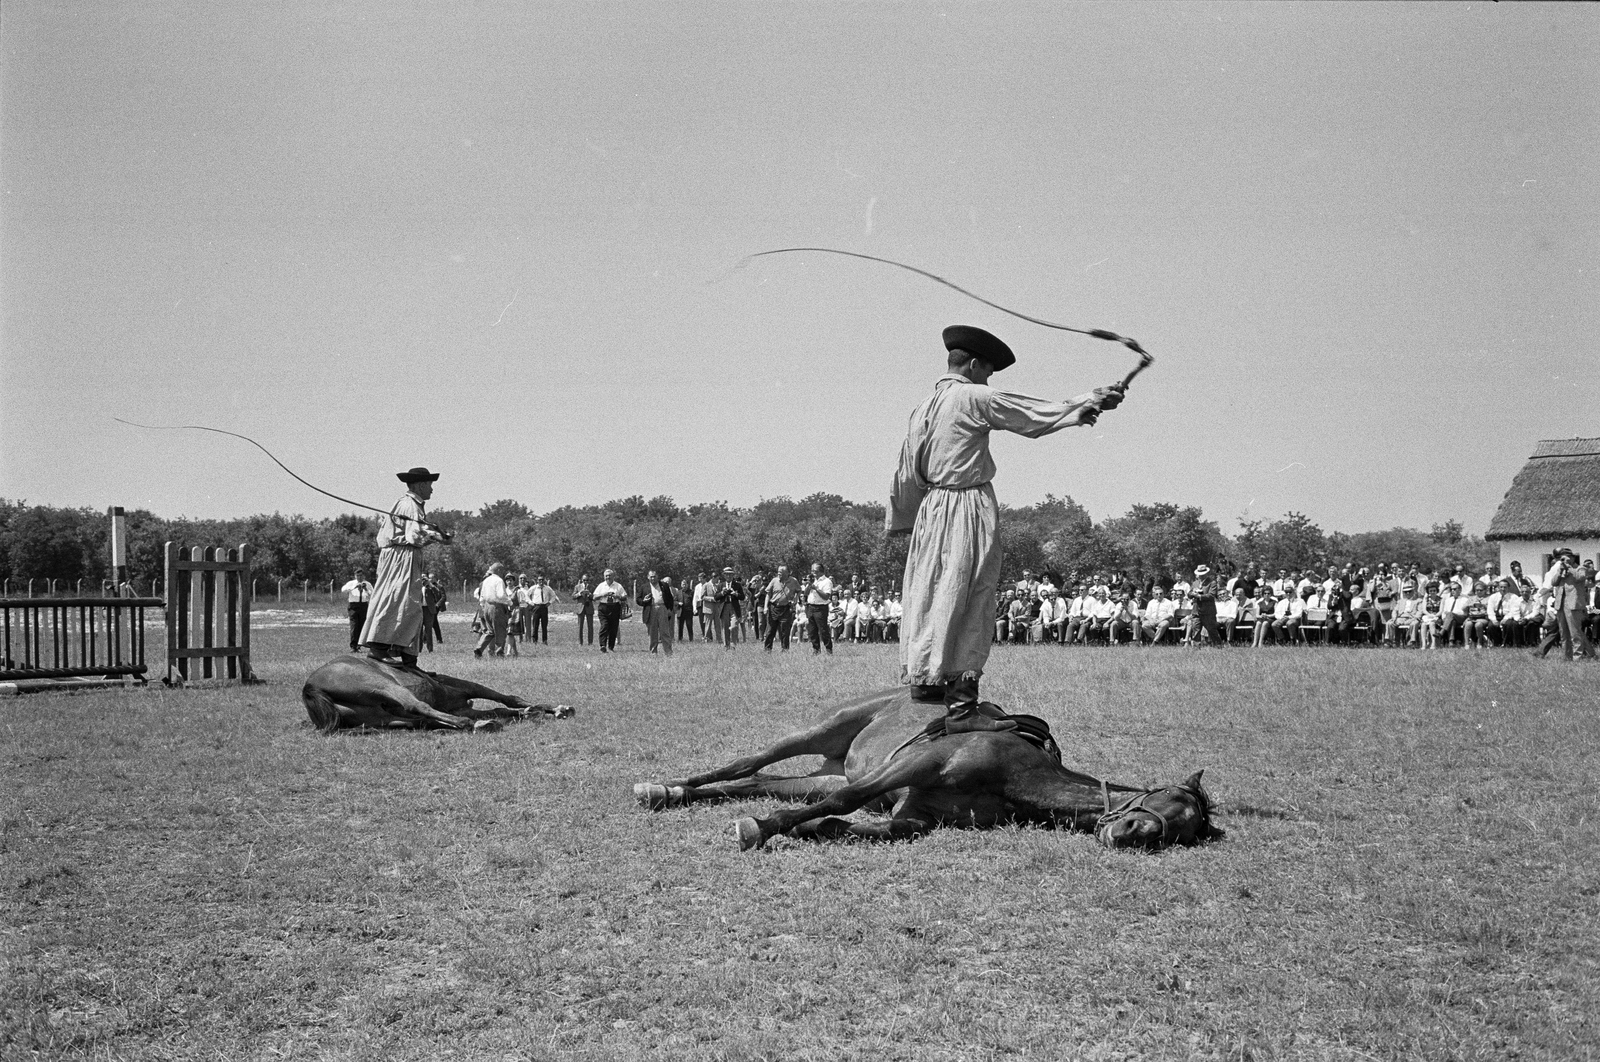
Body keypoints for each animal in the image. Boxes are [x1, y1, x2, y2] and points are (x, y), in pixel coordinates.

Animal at [300, 652, 576, 735]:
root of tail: (311, 686)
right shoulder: (466, 688)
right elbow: (507, 699)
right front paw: (552, 709)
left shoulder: (462, 704)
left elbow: (501, 708)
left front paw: (533, 711)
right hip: (382, 685)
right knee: (418, 707)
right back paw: (473, 725)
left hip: (383, 719)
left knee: (422, 720)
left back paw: (478, 723)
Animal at [630, 687, 1216, 857]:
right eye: (1168, 801)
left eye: (1184, 831)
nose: (1135, 831)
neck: (1017, 777)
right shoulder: (914, 765)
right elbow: (842, 809)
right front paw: (763, 828)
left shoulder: (914, 811)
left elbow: (876, 825)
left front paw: (812, 827)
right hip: (827, 731)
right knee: (749, 763)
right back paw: (665, 787)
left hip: (832, 770)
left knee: (758, 782)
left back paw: (671, 792)